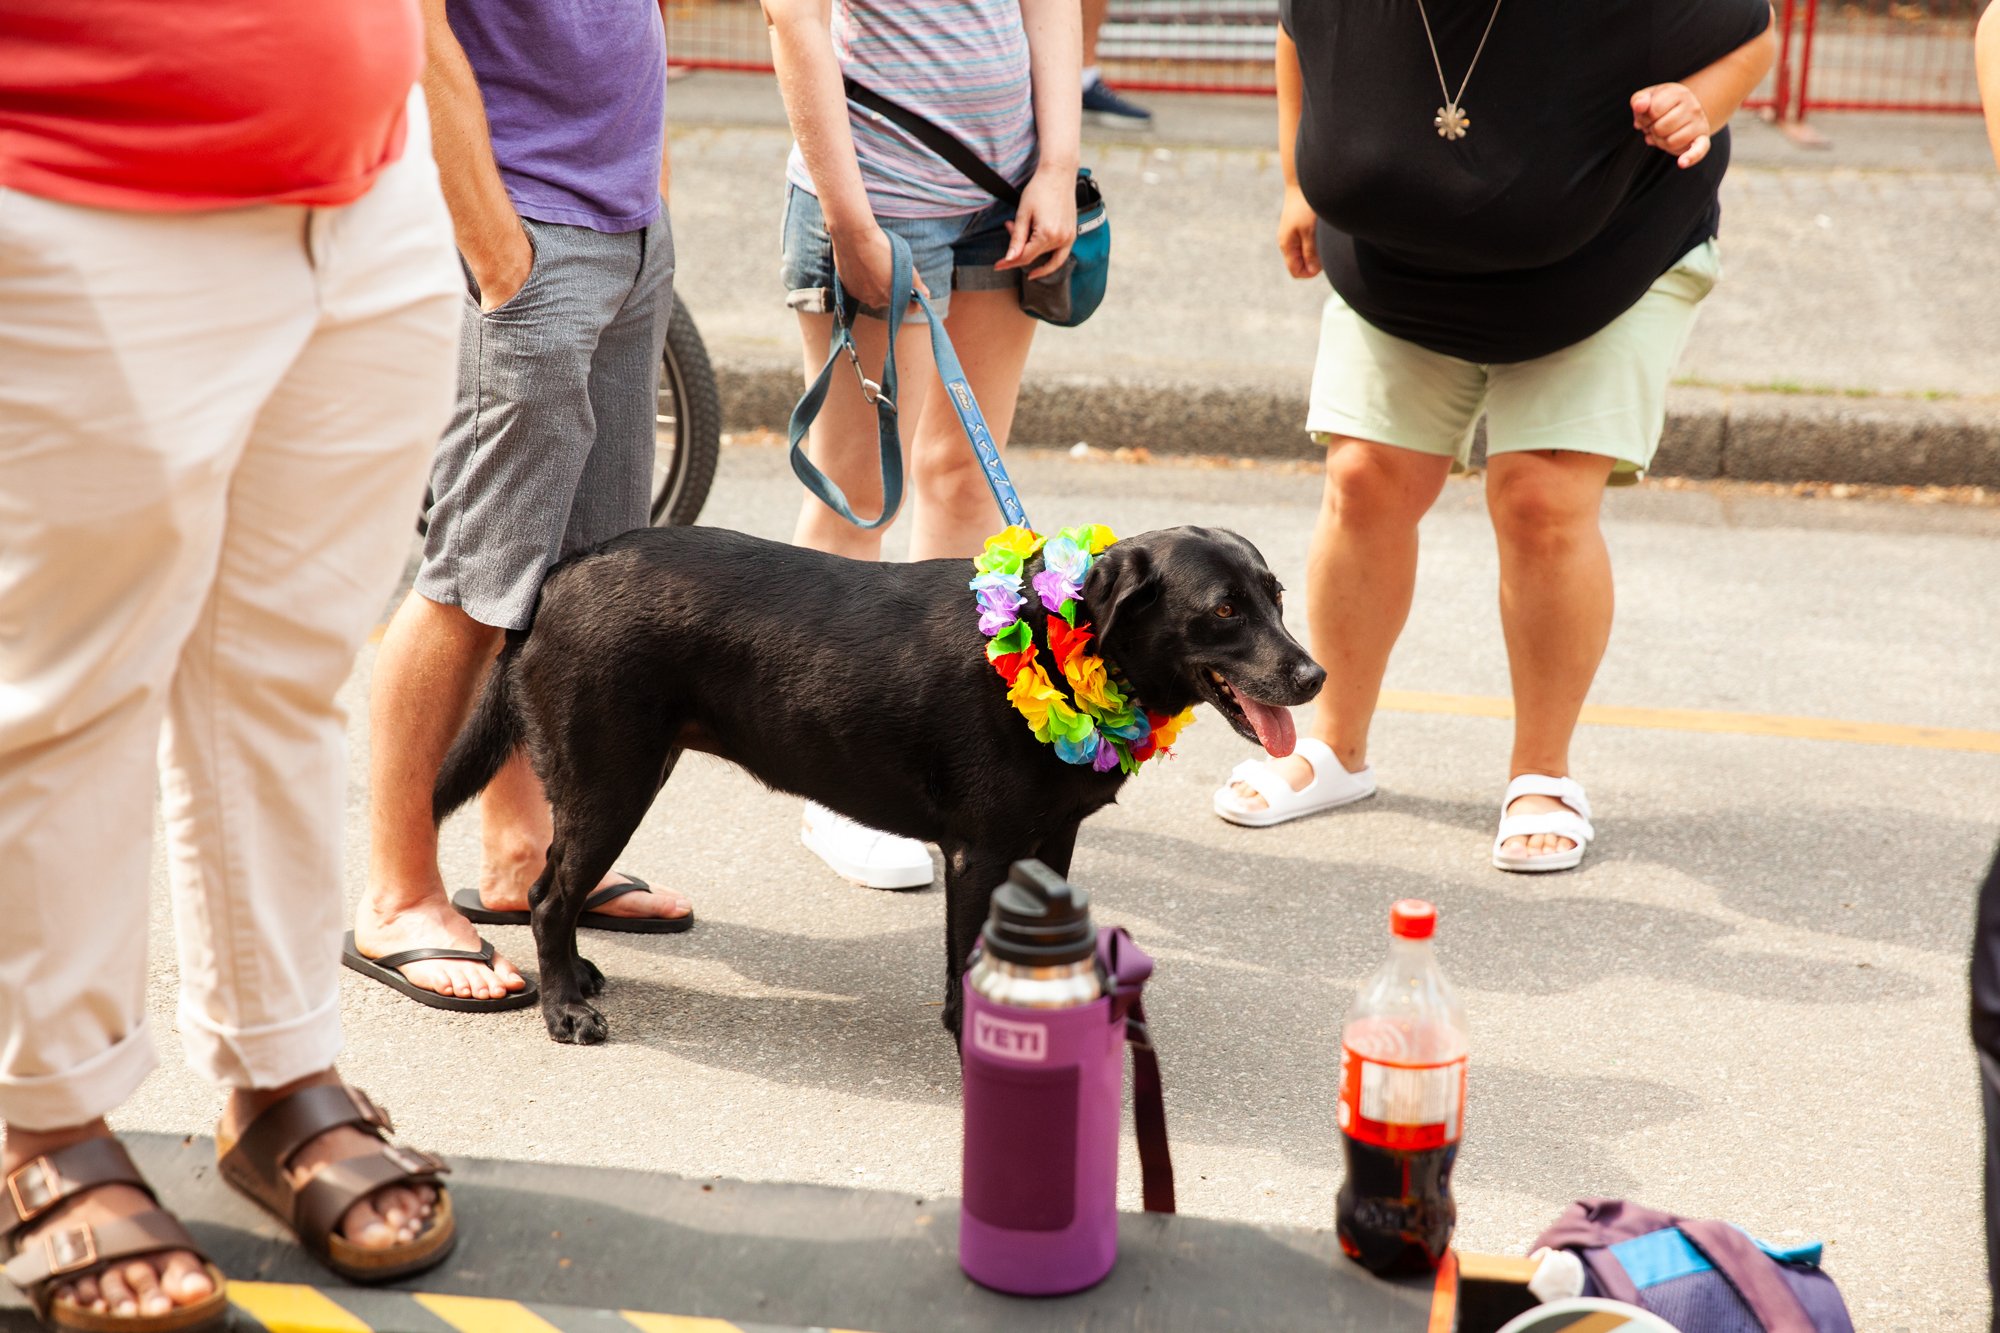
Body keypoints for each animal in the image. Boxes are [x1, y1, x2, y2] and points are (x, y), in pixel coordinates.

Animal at [430, 524, 1320, 1040]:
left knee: (556, 885)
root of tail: (560, 573)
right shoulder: (979, 852)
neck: (1056, 639)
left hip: (625, 777)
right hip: (611, 781)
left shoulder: (1051, 838)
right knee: (548, 895)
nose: (1313, 676)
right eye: (1224, 609)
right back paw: (563, 1008)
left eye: (1277, 597)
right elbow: (968, 962)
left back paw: (576, 973)